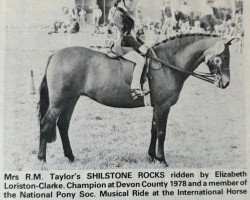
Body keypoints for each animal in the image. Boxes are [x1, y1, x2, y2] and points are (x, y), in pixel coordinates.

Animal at [37, 34, 232, 166]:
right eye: (223, 57)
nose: (226, 83)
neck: (168, 63)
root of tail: (55, 55)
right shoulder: (164, 106)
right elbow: (161, 132)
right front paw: (162, 160)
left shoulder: (157, 107)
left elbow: (153, 130)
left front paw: (151, 156)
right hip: (59, 102)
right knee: (46, 123)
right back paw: (42, 158)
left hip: (71, 99)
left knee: (63, 124)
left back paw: (70, 157)